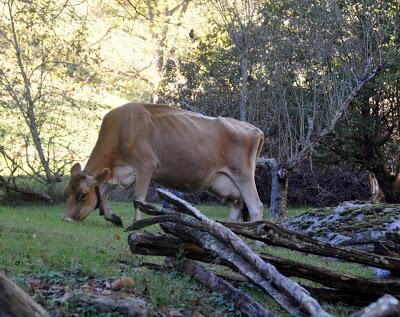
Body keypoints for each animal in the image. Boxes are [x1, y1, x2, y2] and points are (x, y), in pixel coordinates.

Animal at [63, 102, 266, 226]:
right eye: (67, 193)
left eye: (82, 195)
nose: (66, 219)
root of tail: (254, 129)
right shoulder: (124, 172)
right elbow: (104, 193)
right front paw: (113, 217)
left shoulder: (146, 165)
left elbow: (138, 199)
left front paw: (136, 224)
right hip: (225, 183)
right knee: (236, 207)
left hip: (243, 175)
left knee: (256, 207)